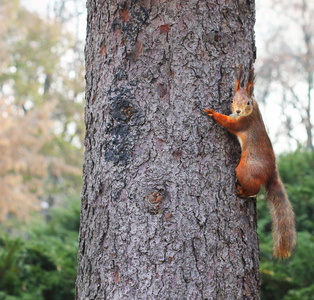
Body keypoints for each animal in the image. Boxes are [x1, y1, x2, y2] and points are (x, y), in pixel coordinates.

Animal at [204, 66, 296, 260]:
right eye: (232, 99)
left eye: (247, 102)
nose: (238, 111)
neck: (253, 111)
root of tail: (271, 173)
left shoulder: (242, 123)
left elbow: (228, 123)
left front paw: (214, 113)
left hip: (245, 169)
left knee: (255, 189)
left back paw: (244, 192)